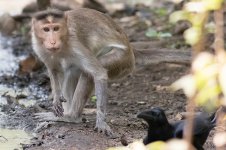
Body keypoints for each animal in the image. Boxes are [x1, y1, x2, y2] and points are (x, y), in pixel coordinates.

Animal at [31, 7, 135, 136]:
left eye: (56, 28)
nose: (53, 42)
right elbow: (53, 69)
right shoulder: (39, 47)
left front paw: (101, 121)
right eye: (46, 29)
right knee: (72, 71)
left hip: (121, 60)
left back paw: (72, 117)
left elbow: (99, 74)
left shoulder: (74, 44)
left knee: (90, 74)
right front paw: (56, 99)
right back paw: (67, 113)